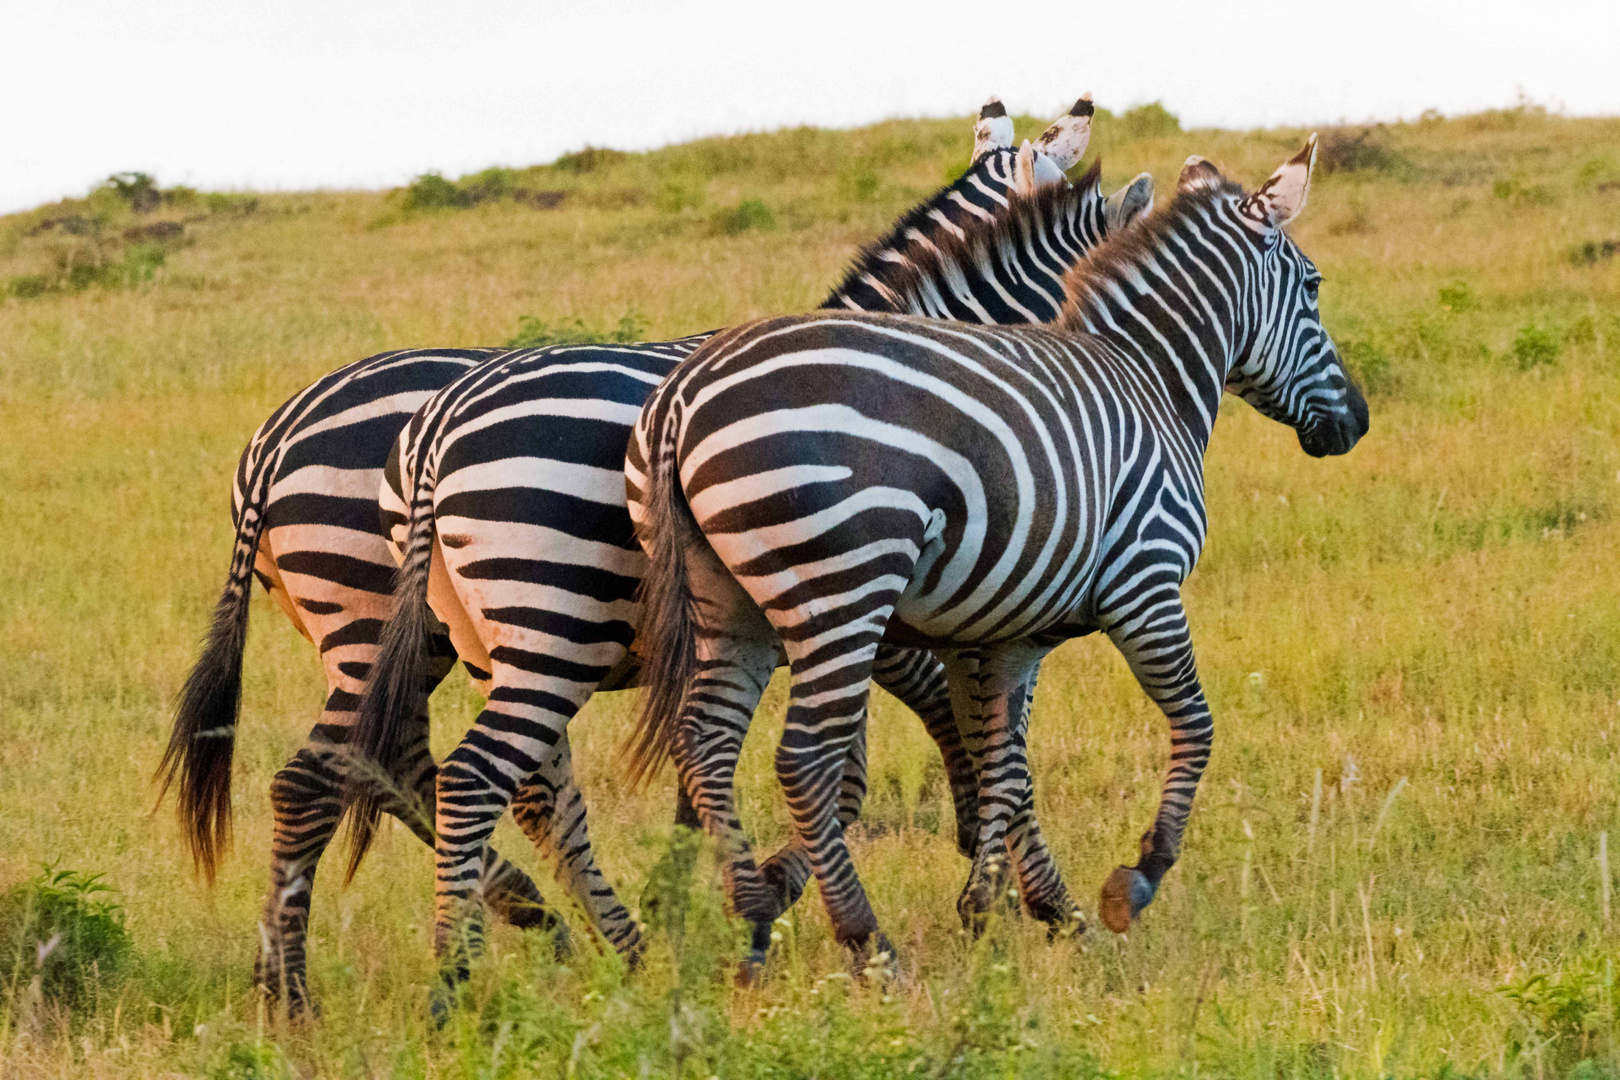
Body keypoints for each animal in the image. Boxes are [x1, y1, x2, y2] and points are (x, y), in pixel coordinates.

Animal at [157, 95, 1101, 1016]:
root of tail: (275, 439)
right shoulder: (856, 595)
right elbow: (924, 743)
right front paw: (1025, 891)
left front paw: (718, 885)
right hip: (406, 625)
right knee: (364, 776)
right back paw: (328, 985)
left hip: (409, 636)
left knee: (398, 771)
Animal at [622, 137, 1367, 971]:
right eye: (1313, 286)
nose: (1358, 421)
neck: (1151, 377)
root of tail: (679, 400)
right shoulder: (1145, 584)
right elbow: (1195, 724)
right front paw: (1132, 879)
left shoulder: (1002, 633)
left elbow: (1003, 763)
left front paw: (993, 905)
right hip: (838, 595)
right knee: (802, 760)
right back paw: (866, 943)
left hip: (730, 607)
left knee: (706, 744)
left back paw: (750, 928)